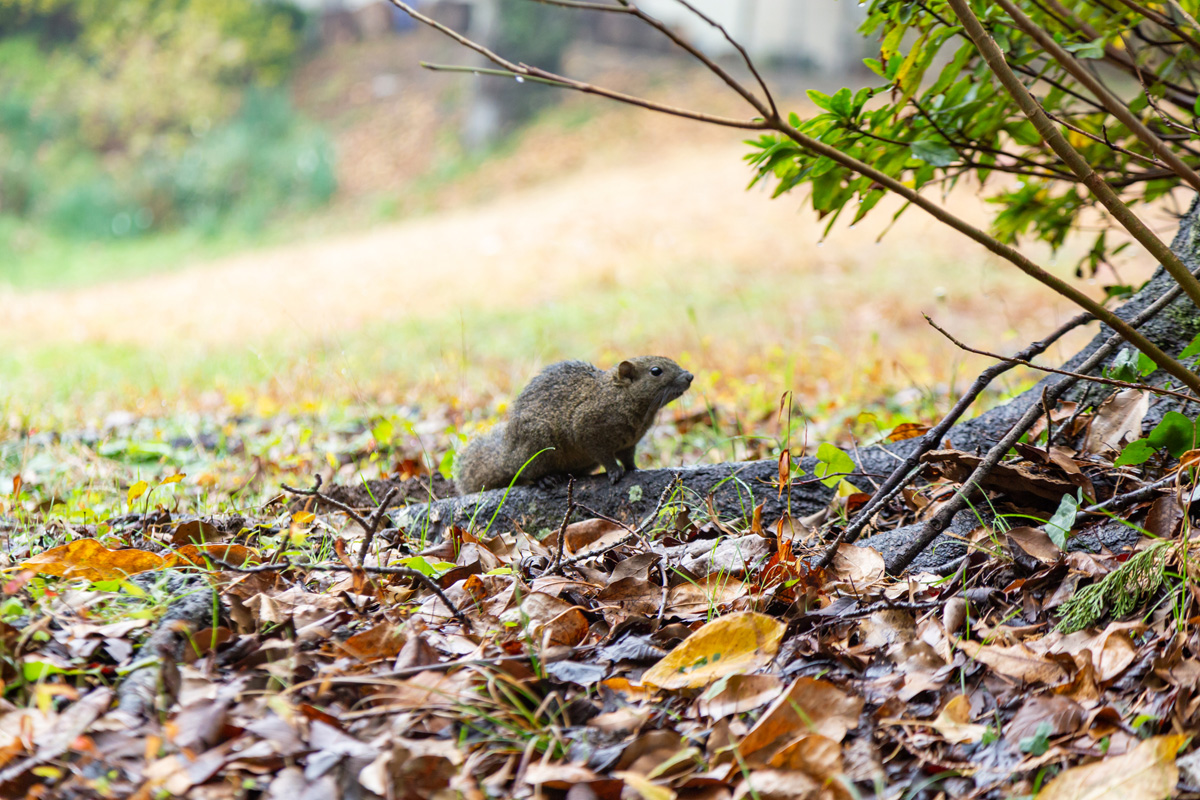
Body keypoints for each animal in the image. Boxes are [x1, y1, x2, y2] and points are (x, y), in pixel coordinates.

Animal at [453, 357, 696, 494]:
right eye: (656, 371)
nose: (690, 376)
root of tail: (506, 456)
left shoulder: (629, 442)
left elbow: (628, 458)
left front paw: (634, 469)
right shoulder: (587, 429)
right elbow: (605, 456)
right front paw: (614, 472)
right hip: (537, 444)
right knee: (528, 473)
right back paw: (546, 479)